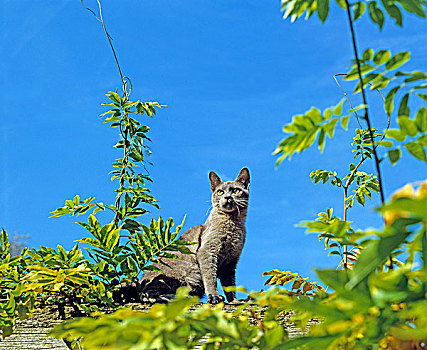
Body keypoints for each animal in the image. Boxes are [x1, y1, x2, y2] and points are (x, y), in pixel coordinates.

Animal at [140, 167, 251, 304]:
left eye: (235, 190)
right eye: (220, 192)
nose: (227, 197)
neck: (233, 223)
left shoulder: (231, 262)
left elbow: (230, 284)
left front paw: (234, 300)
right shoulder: (207, 250)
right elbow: (210, 278)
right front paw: (214, 296)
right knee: (151, 295)